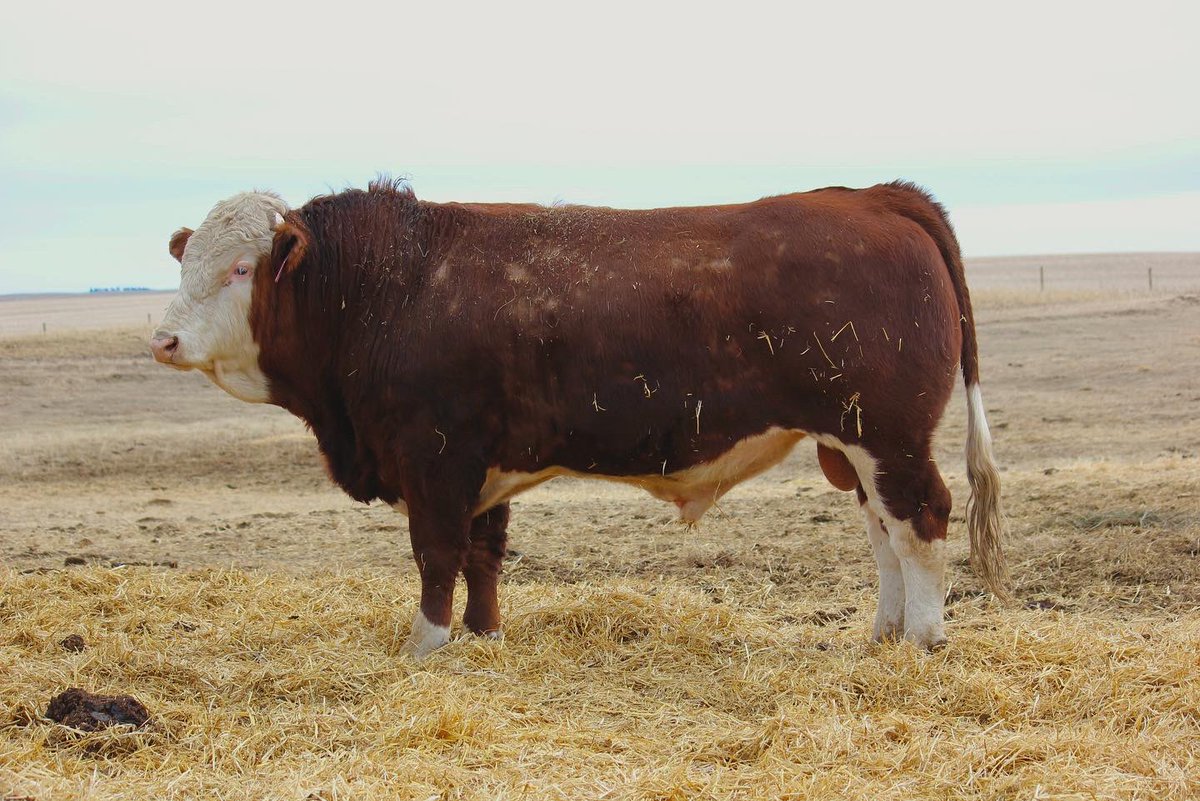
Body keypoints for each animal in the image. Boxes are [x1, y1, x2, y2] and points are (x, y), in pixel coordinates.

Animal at [151, 179, 1008, 657]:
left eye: (240, 268)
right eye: (187, 263)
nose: (162, 339)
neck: (387, 287)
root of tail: (873, 196)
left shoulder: (435, 458)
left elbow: (436, 554)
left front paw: (426, 644)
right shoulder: (483, 467)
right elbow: (483, 556)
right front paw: (485, 636)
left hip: (888, 435)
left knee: (922, 519)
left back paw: (923, 639)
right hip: (854, 444)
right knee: (884, 531)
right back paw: (884, 633)